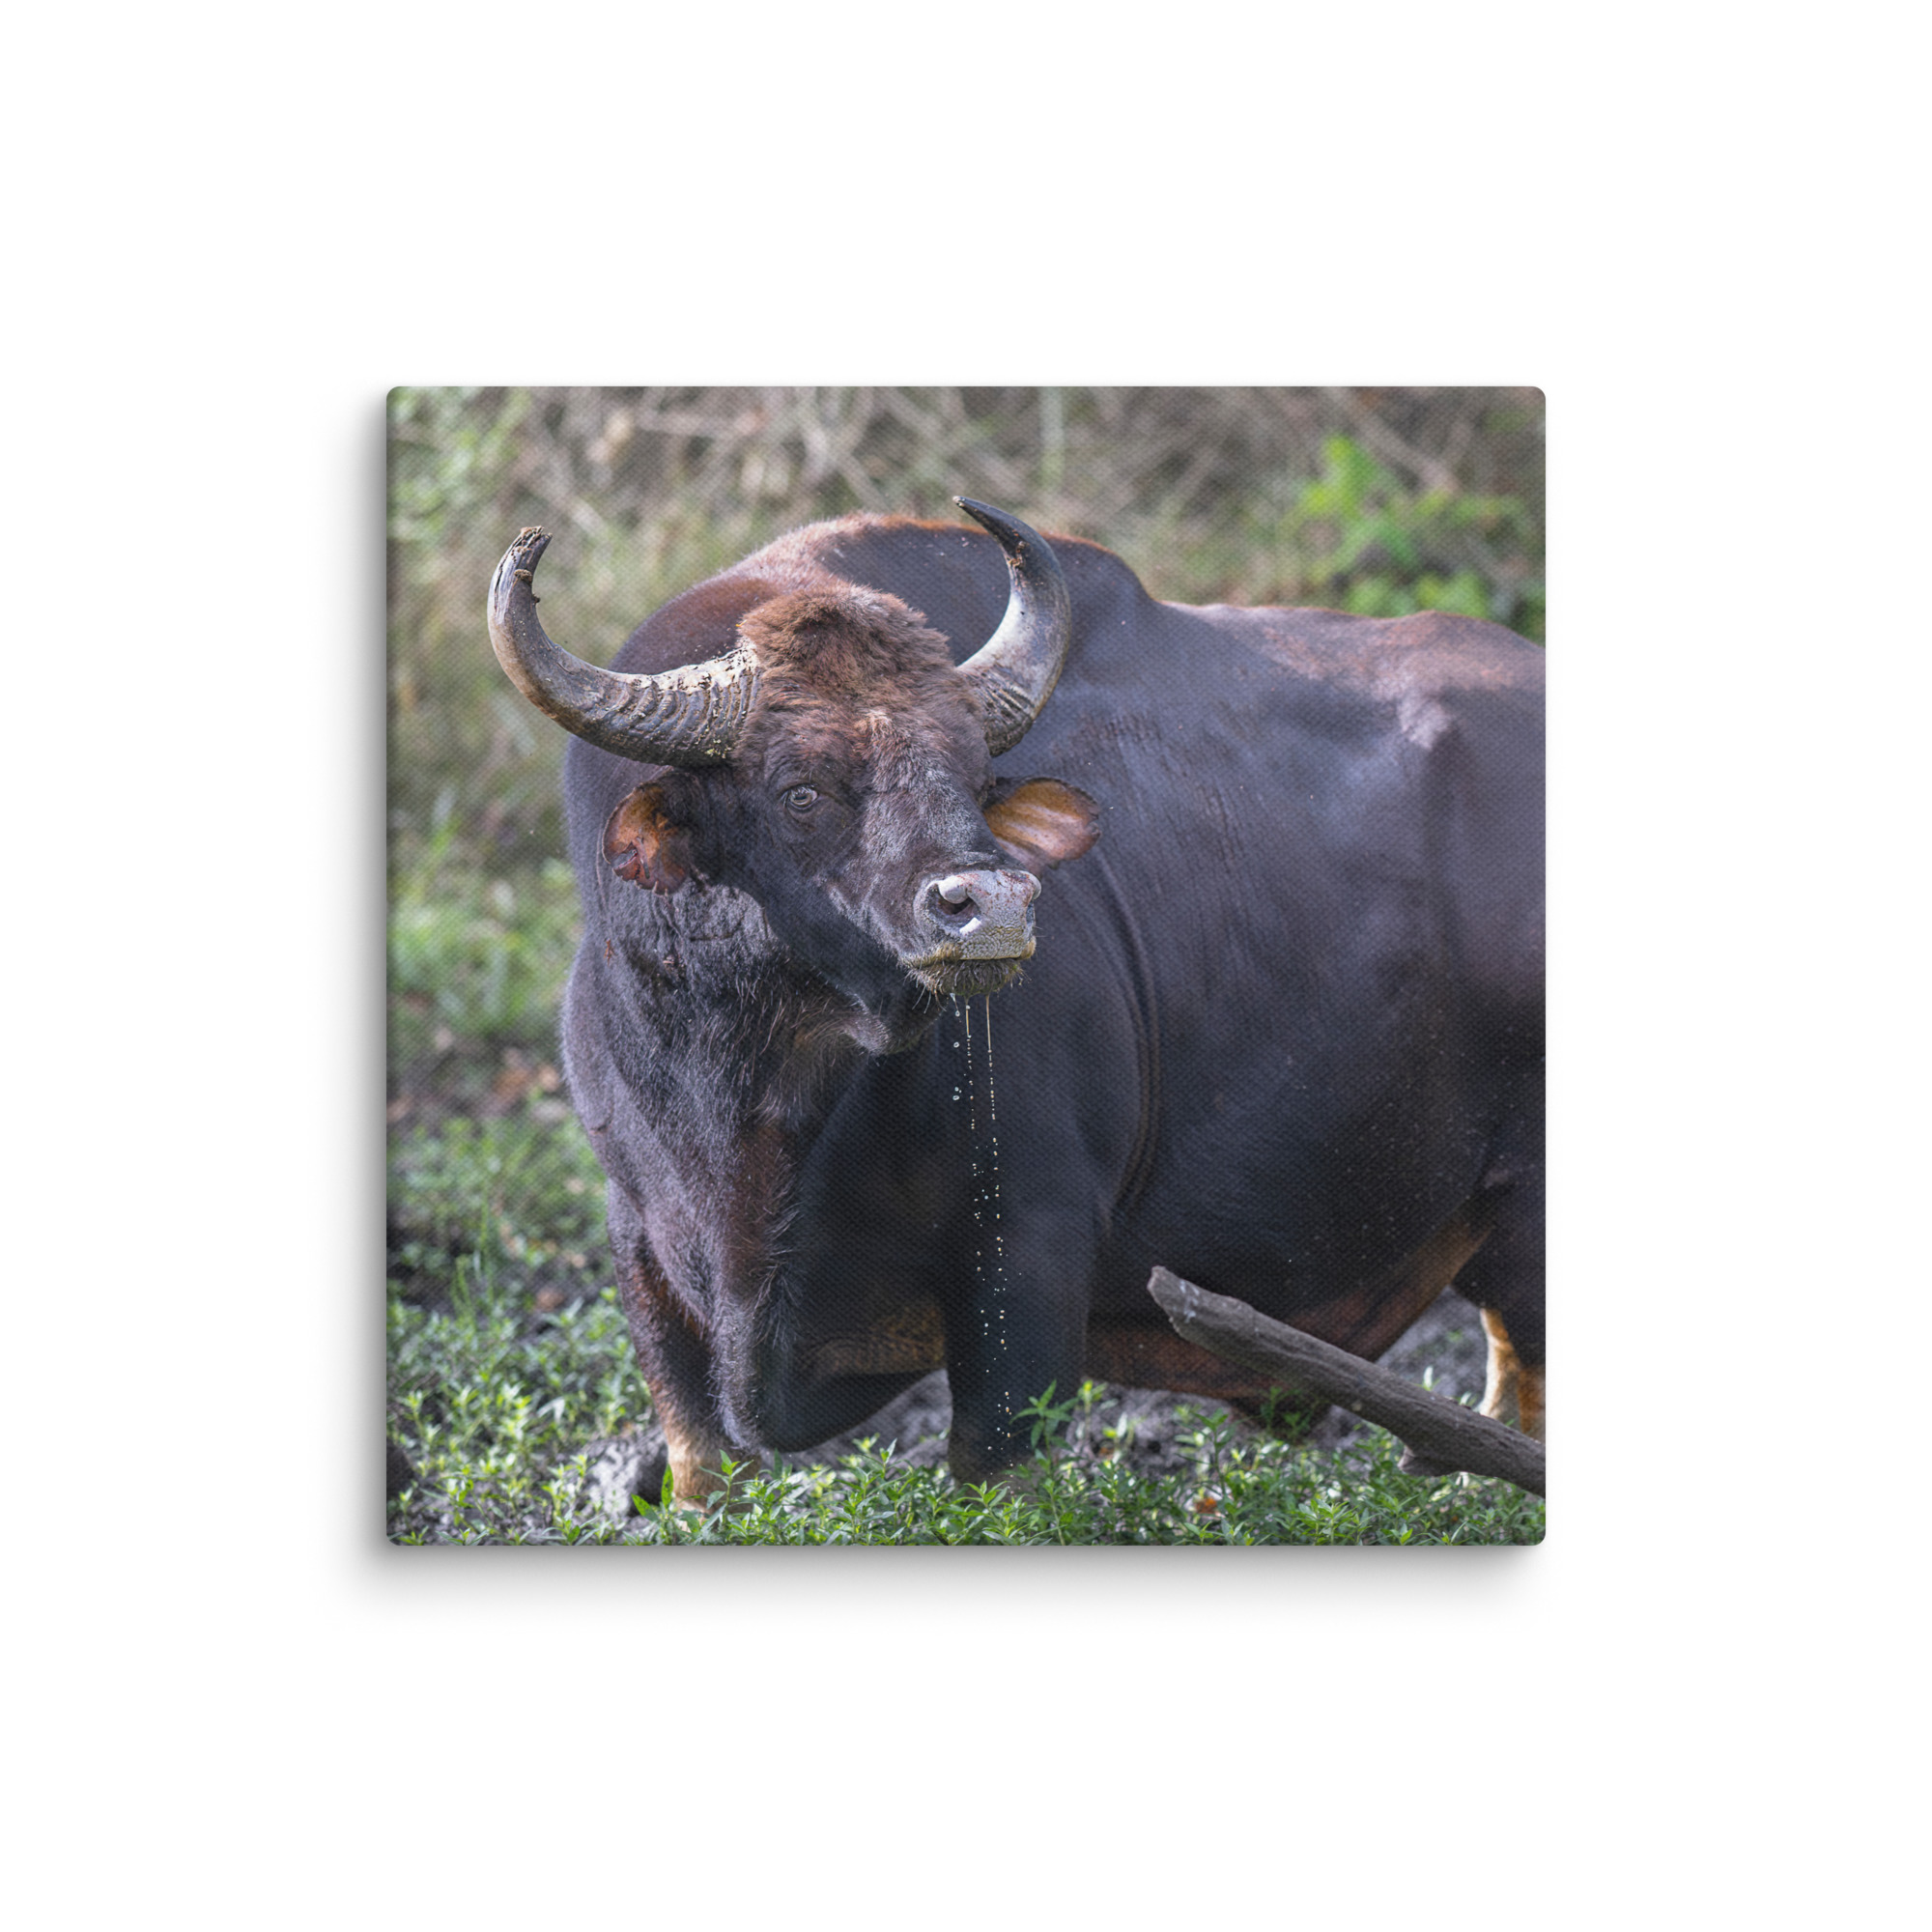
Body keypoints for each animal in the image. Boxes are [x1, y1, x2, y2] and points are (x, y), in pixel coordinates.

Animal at [486, 498, 1543, 1506]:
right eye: (800, 790)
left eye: (968, 774)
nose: (988, 904)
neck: (758, 1103)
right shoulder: (641, 1247)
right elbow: (701, 1464)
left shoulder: (1028, 1251)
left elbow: (993, 1467)